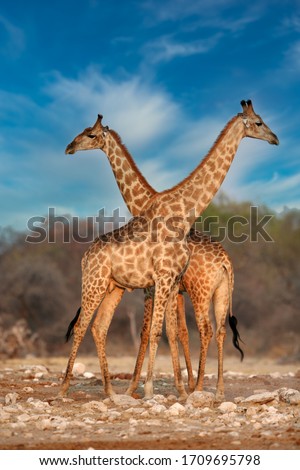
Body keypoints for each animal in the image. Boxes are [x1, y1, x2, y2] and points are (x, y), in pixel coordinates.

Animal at [62, 101, 278, 398]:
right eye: (259, 122)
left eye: (90, 134)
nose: (69, 147)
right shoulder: (160, 283)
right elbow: (160, 332)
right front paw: (153, 387)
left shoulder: (168, 282)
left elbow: (165, 331)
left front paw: (170, 388)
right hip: (100, 284)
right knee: (85, 325)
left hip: (131, 288)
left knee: (99, 327)